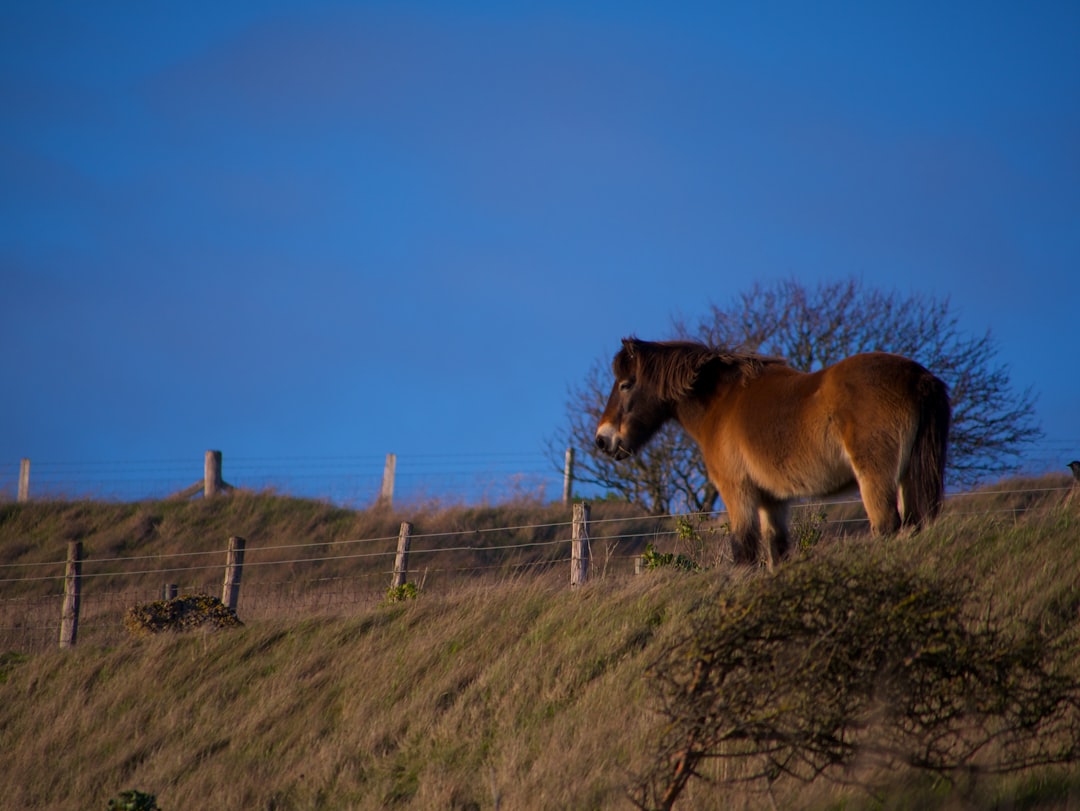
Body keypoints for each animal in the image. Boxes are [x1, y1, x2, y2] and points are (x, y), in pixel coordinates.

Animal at [596, 339, 950, 565]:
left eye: (626, 384)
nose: (602, 439)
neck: (722, 403)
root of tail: (919, 377)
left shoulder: (737, 491)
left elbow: (744, 552)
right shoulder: (772, 499)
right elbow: (777, 552)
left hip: (875, 479)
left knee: (888, 526)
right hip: (906, 477)